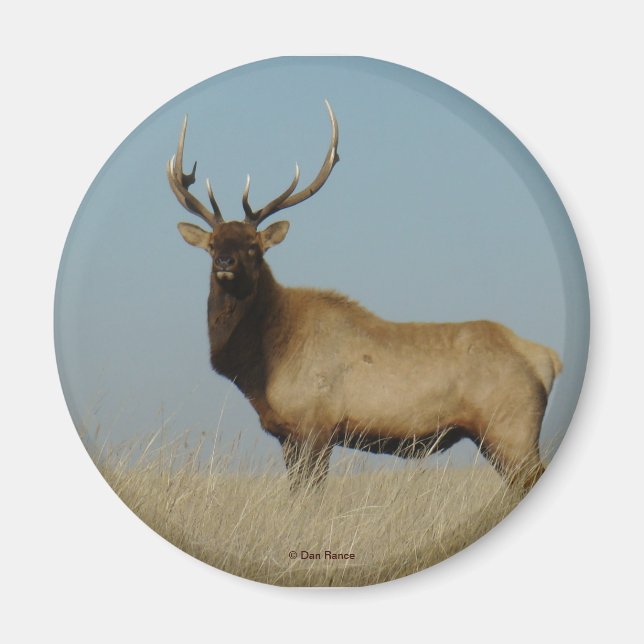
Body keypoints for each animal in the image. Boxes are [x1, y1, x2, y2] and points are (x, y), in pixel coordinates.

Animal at [166, 100, 562, 494]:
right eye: (213, 244)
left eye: (253, 246)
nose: (225, 262)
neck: (260, 367)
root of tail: (548, 359)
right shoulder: (287, 434)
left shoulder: (315, 426)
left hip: (511, 430)